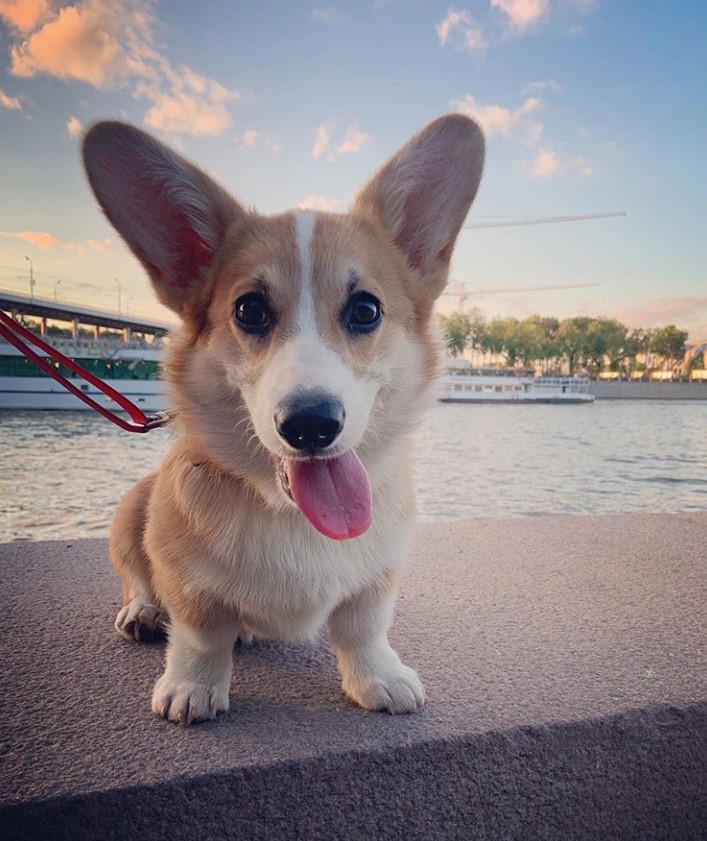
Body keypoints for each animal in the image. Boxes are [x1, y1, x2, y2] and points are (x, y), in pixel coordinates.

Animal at [80, 115, 484, 724]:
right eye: (249, 310)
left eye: (365, 310)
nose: (310, 424)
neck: (292, 514)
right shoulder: (185, 576)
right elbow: (200, 633)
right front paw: (193, 687)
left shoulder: (379, 574)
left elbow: (364, 627)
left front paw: (379, 678)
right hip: (131, 511)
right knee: (139, 580)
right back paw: (145, 613)